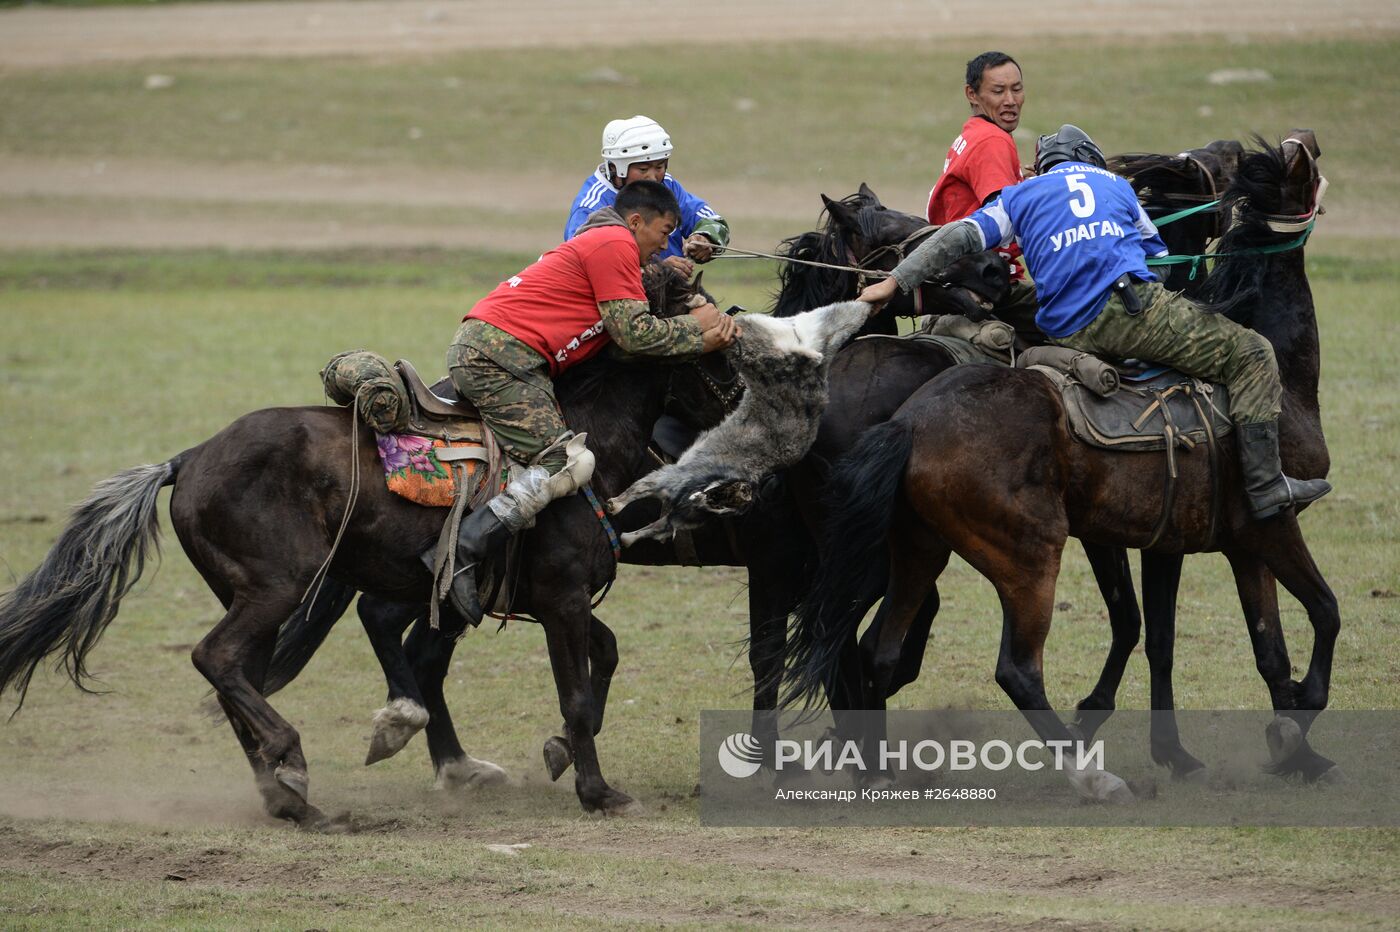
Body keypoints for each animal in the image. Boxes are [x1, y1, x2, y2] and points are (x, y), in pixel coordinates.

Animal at [0, 263, 744, 822]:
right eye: (725, 352)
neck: (592, 437)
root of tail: (187, 458)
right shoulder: (560, 598)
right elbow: (579, 696)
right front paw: (598, 791)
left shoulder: (562, 600)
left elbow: (604, 658)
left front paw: (560, 753)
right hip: (278, 587)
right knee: (220, 659)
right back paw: (301, 763)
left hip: (253, 595)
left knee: (241, 675)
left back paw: (290, 794)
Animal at [784, 137, 1338, 800]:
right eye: (895, 234)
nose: (992, 272)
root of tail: (908, 423)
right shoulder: (1265, 525)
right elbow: (1314, 614)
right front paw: (1285, 730)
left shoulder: (1202, 541)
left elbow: (1230, 642)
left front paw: (1271, 745)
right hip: (1022, 555)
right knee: (1006, 668)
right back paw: (1086, 773)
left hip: (915, 547)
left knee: (872, 647)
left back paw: (877, 763)